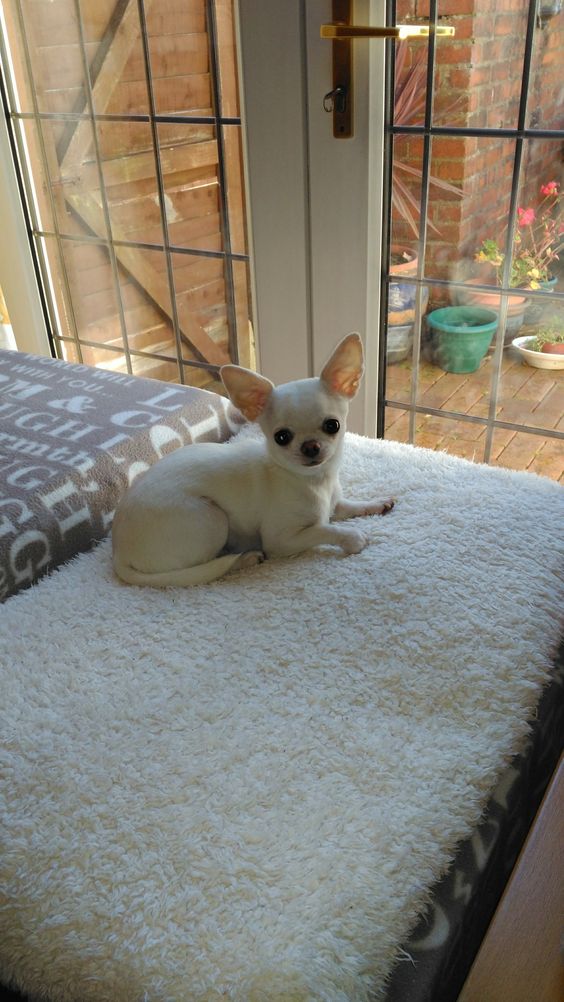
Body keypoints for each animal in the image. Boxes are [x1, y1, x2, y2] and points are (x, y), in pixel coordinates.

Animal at [112, 334, 394, 585]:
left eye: (332, 425)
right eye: (281, 437)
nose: (310, 446)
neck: (314, 481)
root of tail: (118, 553)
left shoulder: (333, 505)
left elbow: (348, 506)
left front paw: (376, 504)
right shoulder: (282, 540)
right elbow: (324, 529)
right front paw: (352, 537)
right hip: (212, 519)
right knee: (208, 567)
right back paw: (244, 559)